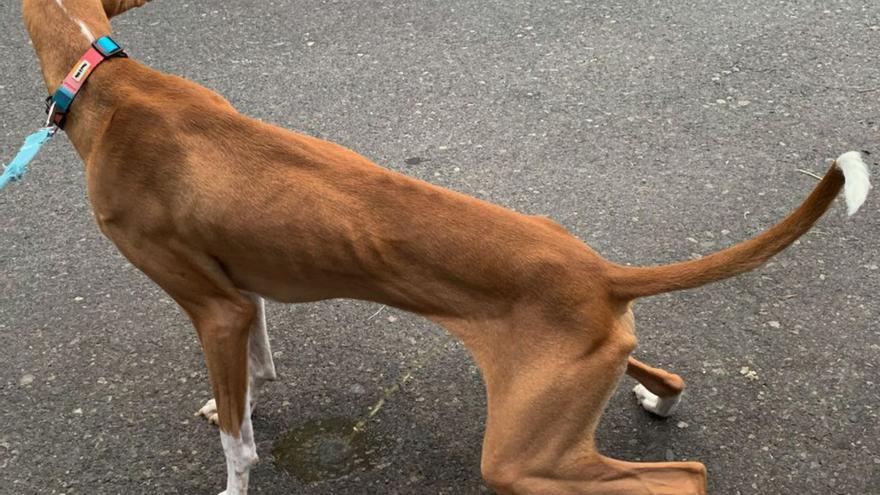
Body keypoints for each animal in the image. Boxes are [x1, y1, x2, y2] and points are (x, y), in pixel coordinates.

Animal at [17, 0, 868, 495]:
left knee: (682, 476)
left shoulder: (210, 305)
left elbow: (239, 445)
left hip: (522, 457)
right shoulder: (236, 289)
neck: (106, 82)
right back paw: (657, 395)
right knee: (666, 376)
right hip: (573, 387)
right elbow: (255, 363)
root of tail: (599, 271)